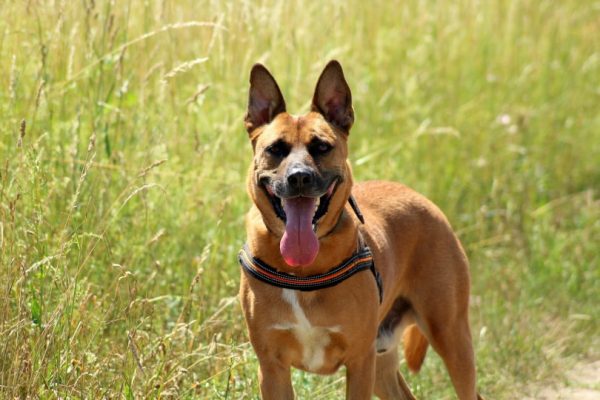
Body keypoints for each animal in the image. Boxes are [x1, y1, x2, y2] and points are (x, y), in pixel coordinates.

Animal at [238, 60, 482, 400]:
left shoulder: (359, 362)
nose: (299, 177)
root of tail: (421, 198)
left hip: (451, 336)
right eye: (276, 148)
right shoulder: (272, 369)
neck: (303, 272)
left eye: (321, 146)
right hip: (384, 362)